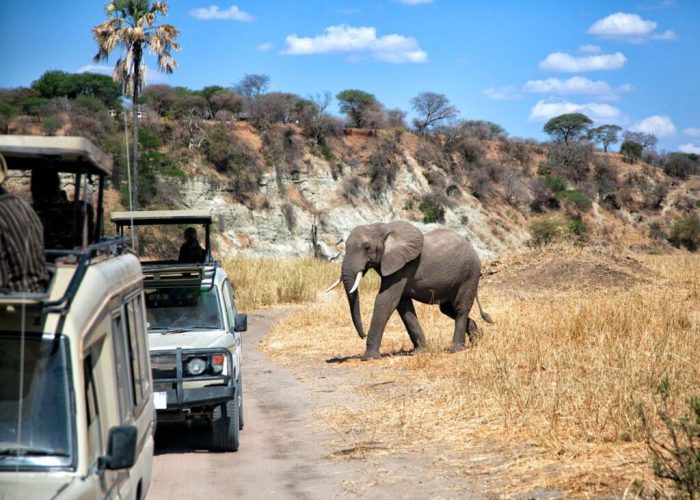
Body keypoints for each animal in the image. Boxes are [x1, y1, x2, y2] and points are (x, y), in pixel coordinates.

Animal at [324, 222, 492, 360]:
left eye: (367, 248)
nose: (363, 335)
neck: (382, 228)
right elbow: (402, 305)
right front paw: (420, 351)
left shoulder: (401, 267)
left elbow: (385, 301)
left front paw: (369, 358)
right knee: (447, 309)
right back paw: (477, 339)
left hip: (469, 273)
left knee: (460, 307)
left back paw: (456, 349)